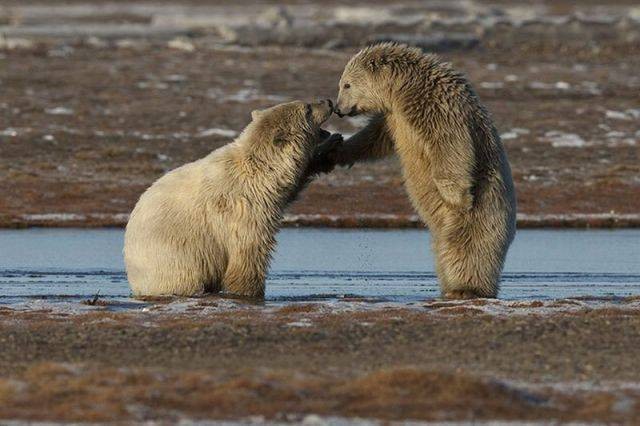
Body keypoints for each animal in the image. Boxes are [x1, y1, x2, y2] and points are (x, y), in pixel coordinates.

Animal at [122, 100, 338, 300]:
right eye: (307, 108)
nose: (328, 102)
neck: (257, 168)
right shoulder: (243, 208)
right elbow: (248, 254)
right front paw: (251, 293)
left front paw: (331, 148)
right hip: (176, 260)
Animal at [332, 42, 516, 296]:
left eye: (346, 84)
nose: (338, 109)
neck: (404, 88)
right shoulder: (394, 116)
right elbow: (376, 138)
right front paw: (338, 148)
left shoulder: (436, 105)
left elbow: (451, 146)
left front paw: (458, 198)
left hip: (484, 212)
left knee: (467, 249)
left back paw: (465, 288)